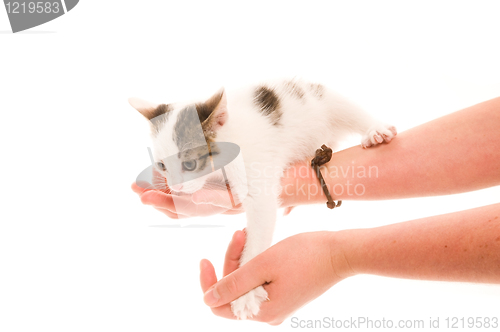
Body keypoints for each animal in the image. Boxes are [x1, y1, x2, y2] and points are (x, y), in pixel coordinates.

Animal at [130, 78, 398, 320]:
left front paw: (245, 295)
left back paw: (374, 130)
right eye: (162, 166)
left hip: (322, 99)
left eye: (189, 164)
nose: (175, 188)